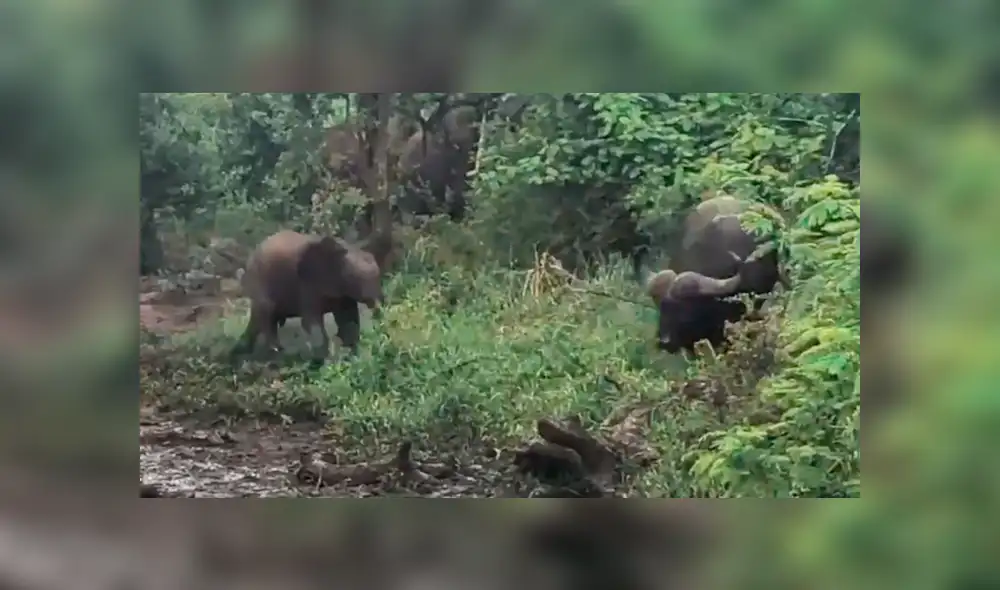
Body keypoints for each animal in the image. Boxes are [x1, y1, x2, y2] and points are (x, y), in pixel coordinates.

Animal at [232, 230, 385, 358]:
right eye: (352, 278)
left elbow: (348, 319)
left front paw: (352, 357)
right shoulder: (307, 284)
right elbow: (311, 320)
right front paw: (322, 362)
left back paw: (241, 351)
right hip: (259, 279)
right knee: (266, 312)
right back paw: (276, 351)